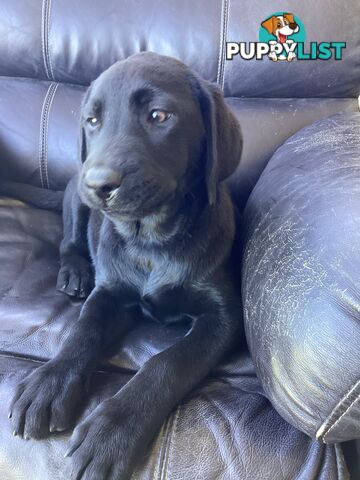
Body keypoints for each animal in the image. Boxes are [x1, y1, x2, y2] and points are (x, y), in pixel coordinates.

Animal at [5, 52, 243, 480]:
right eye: (92, 120)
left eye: (159, 115)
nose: (99, 183)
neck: (151, 240)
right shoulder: (110, 294)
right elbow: (81, 332)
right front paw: (48, 383)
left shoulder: (223, 319)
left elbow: (167, 363)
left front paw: (112, 429)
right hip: (74, 198)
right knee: (69, 242)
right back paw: (75, 272)